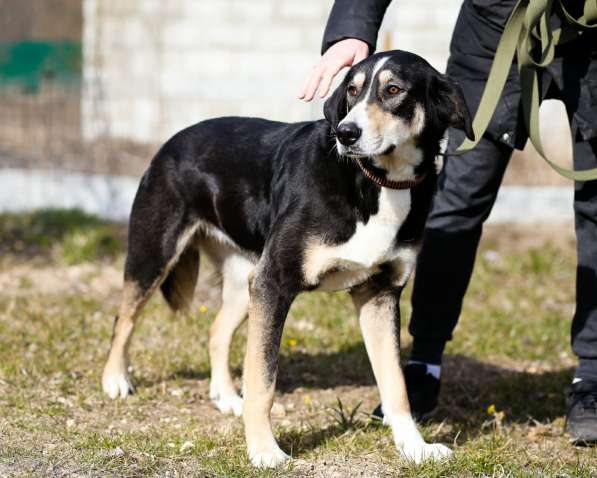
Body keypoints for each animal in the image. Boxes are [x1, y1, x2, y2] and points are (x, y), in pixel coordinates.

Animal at [103, 50, 474, 468]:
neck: (376, 182)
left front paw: (415, 447)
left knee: (216, 331)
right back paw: (116, 380)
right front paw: (264, 450)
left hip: (246, 281)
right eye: (352, 90)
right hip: (155, 254)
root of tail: (171, 141)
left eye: (394, 90)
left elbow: (395, 385)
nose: (346, 133)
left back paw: (227, 397)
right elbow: (263, 380)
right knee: (124, 319)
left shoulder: (379, 294)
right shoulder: (276, 283)